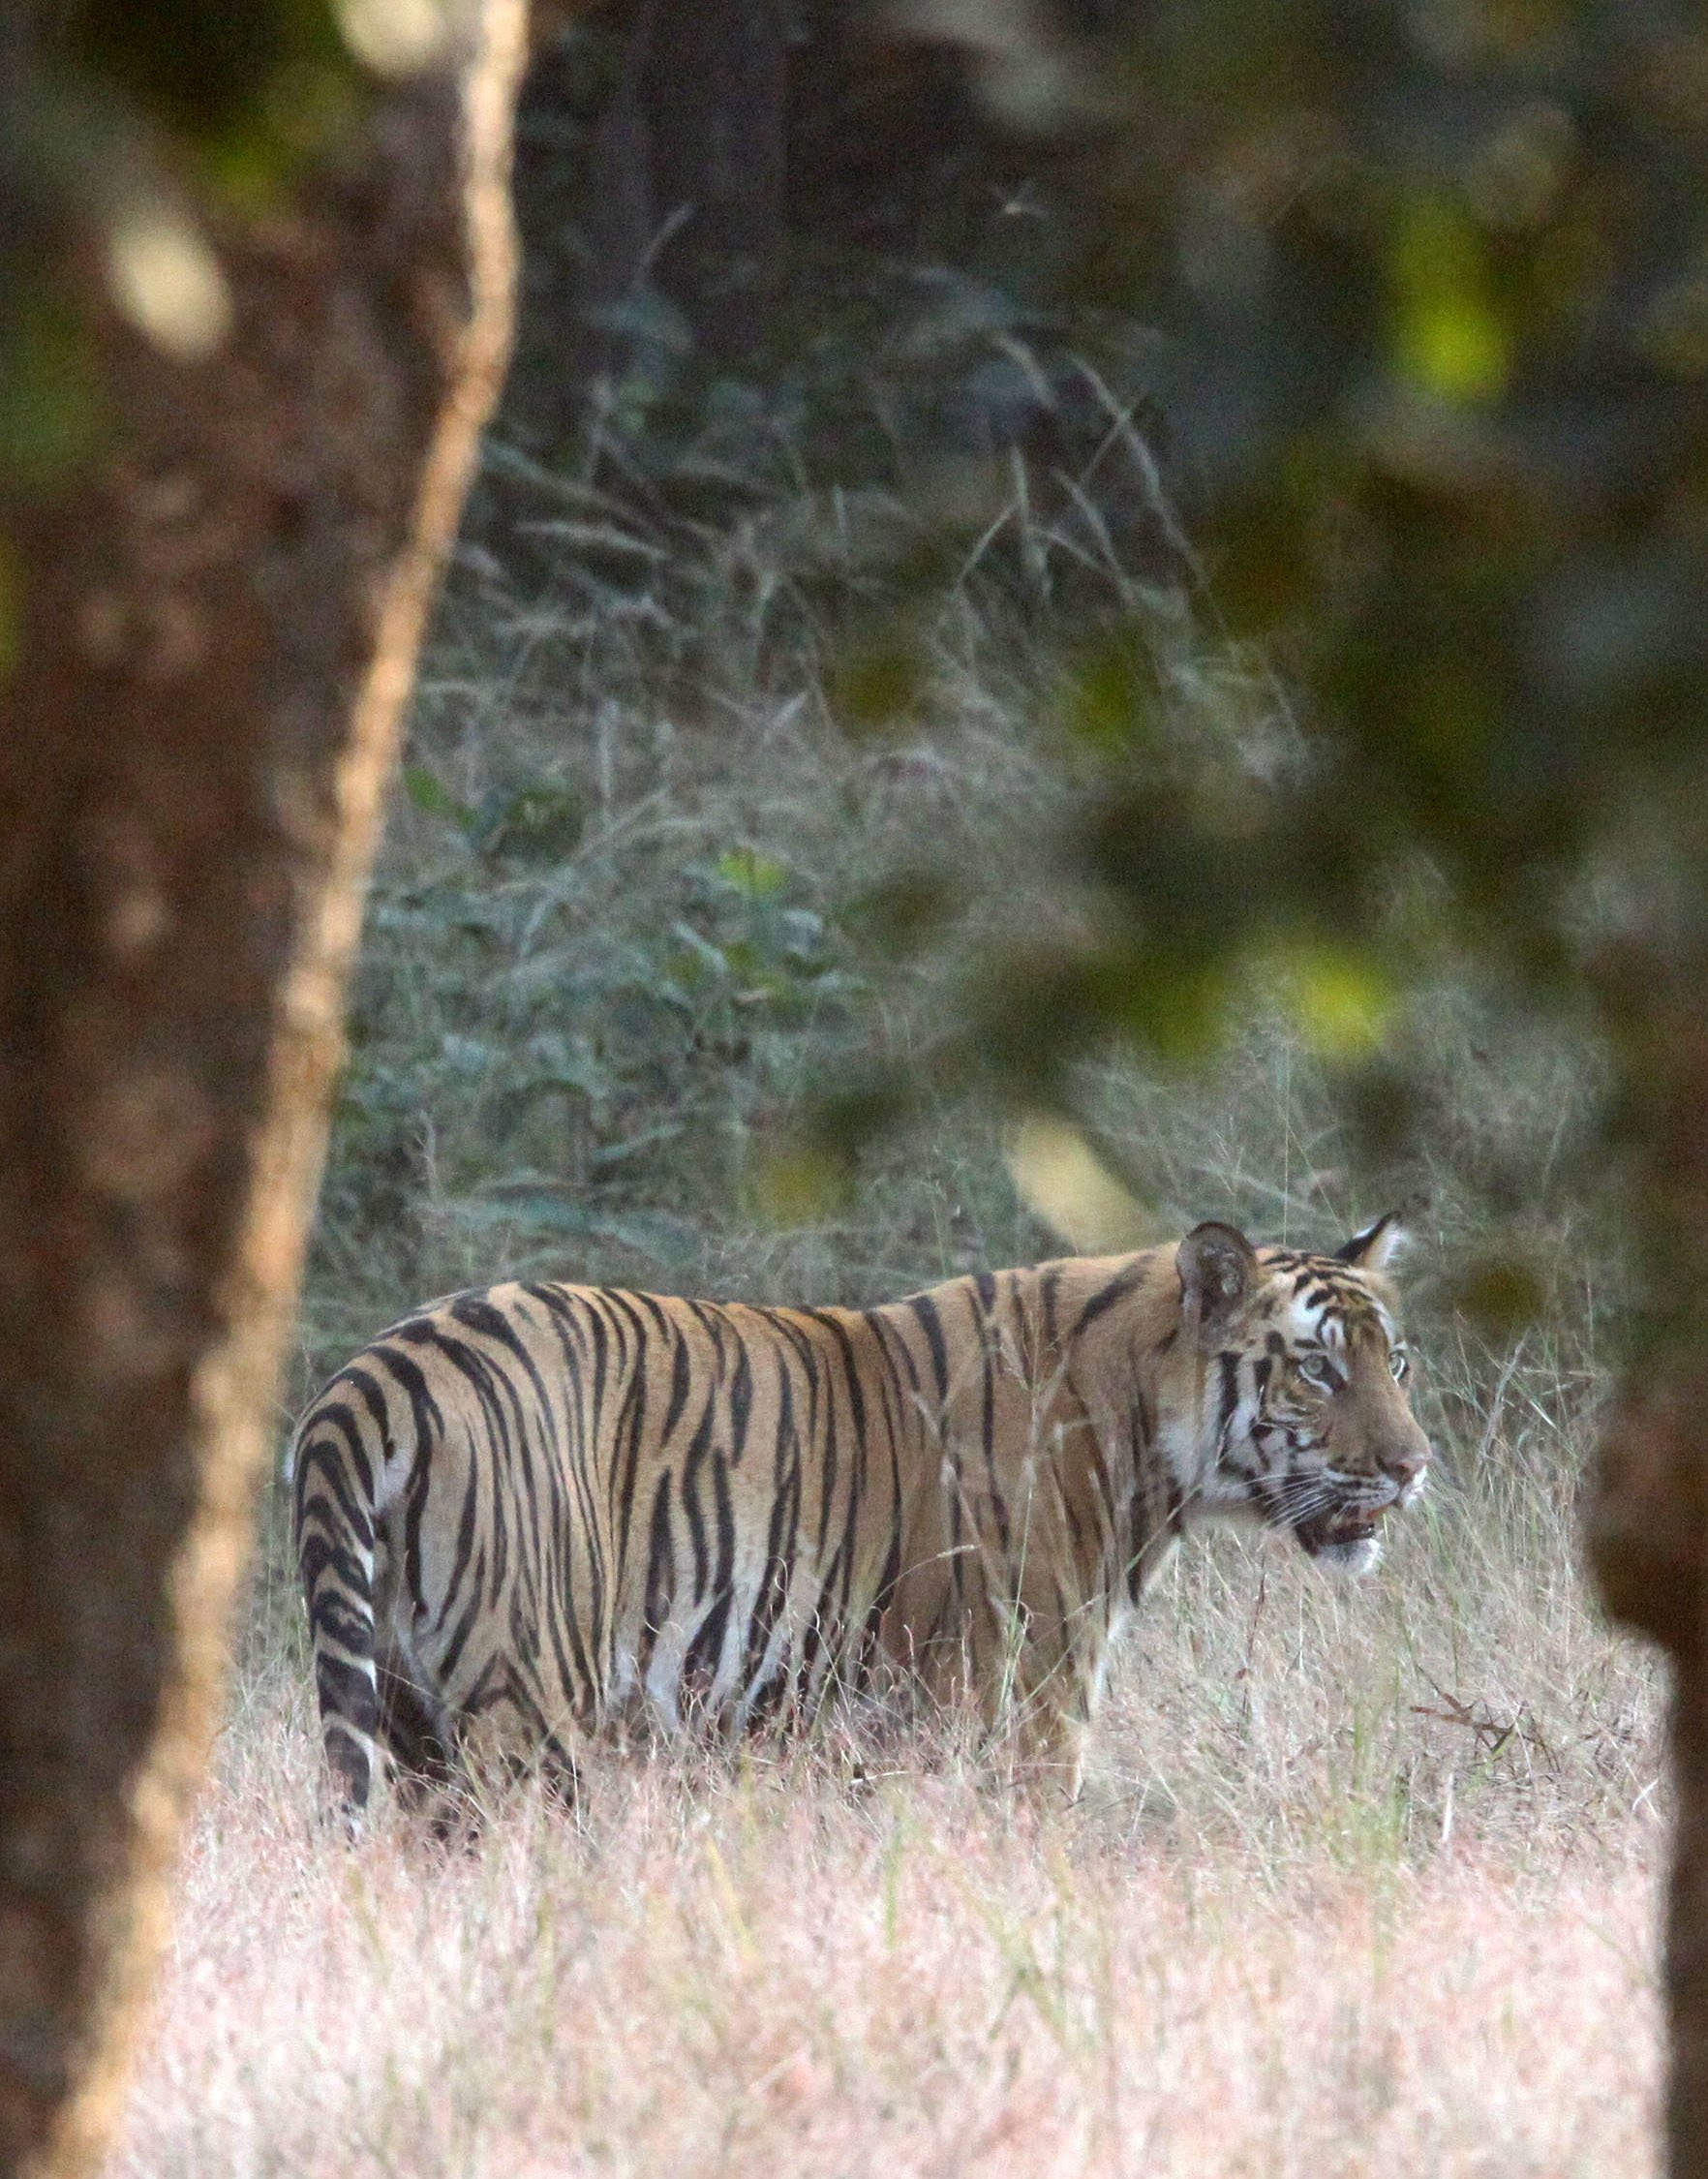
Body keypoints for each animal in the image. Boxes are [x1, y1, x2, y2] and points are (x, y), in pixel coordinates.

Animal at [292, 1211, 1429, 1813]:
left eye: (1398, 1363)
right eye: (1319, 1370)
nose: (1415, 1466)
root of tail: (378, 1371)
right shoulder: (1024, 1707)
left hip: (408, 1717)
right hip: (525, 1702)